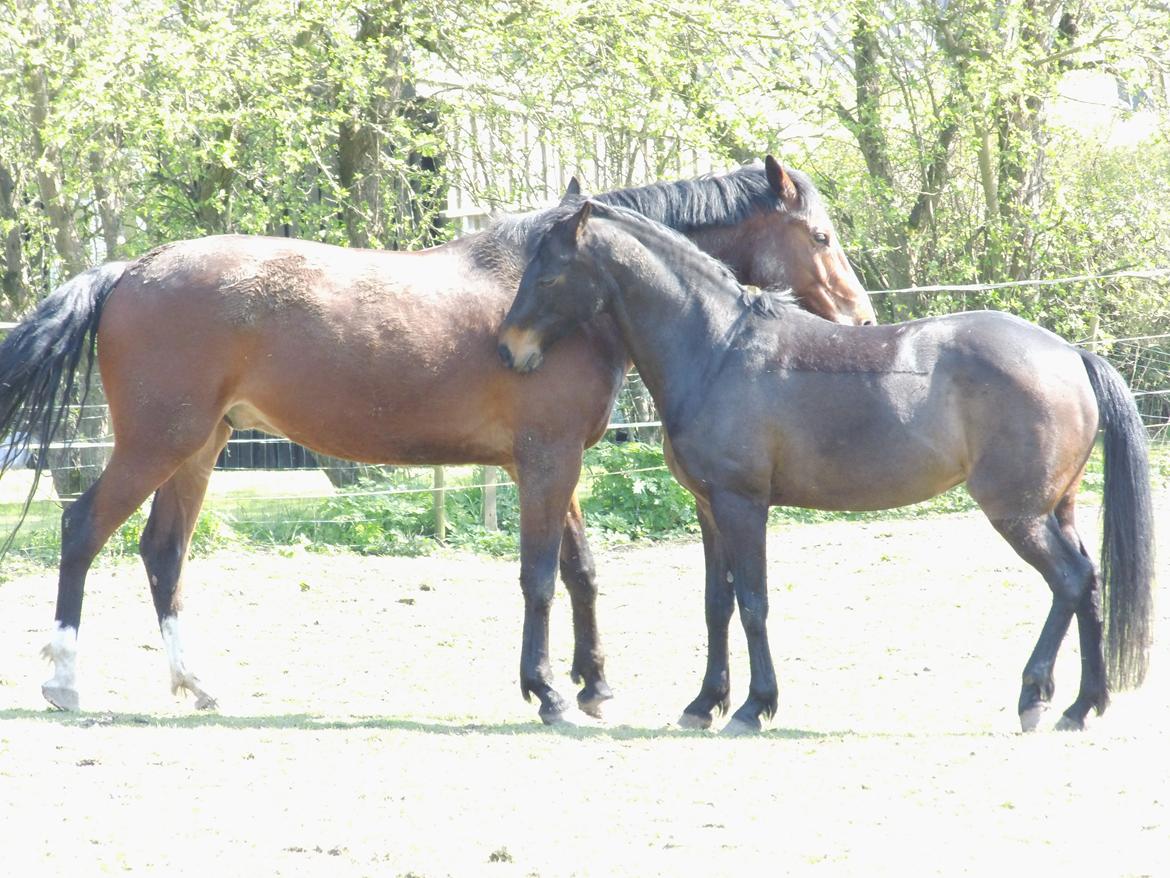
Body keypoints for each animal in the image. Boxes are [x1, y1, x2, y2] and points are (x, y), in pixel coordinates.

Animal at [0, 158, 875, 721]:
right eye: (822, 238)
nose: (863, 319)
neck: (566, 303)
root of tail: (129, 270)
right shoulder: (547, 460)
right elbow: (540, 578)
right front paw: (548, 692)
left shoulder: (552, 464)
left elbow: (582, 571)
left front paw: (594, 686)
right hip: (157, 444)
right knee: (81, 531)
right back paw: (65, 682)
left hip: (199, 450)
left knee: (163, 555)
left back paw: (197, 685)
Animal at [498, 199, 1155, 735]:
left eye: (549, 273)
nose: (509, 348)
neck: (717, 350)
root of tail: (1070, 354)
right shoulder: (710, 509)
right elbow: (717, 605)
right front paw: (704, 704)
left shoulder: (743, 504)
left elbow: (753, 603)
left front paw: (753, 707)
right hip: (1056, 508)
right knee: (1090, 585)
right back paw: (1081, 706)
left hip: (1018, 514)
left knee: (1069, 581)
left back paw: (1035, 699)